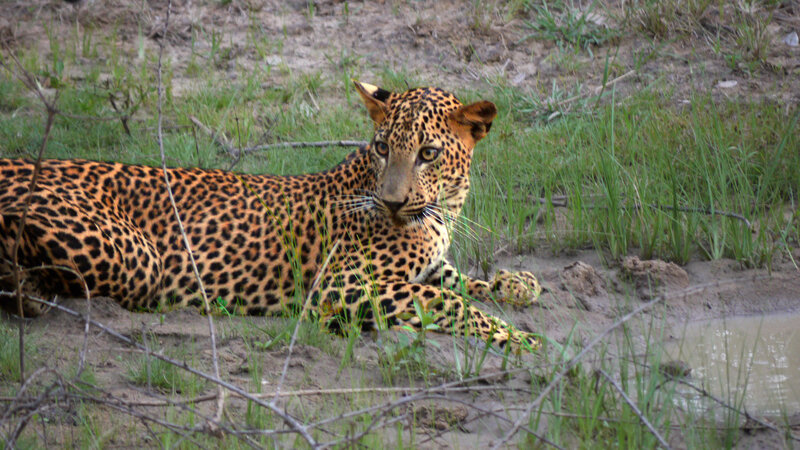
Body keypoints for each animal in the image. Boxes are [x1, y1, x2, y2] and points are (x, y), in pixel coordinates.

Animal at [0, 81, 542, 352]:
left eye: (428, 154)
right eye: (384, 147)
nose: (391, 203)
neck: (442, 214)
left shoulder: (426, 264)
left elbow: (462, 282)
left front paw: (517, 284)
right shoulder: (339, 285)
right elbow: (449, 301)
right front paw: (518, 339)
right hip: (135, 258)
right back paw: (25, 291)